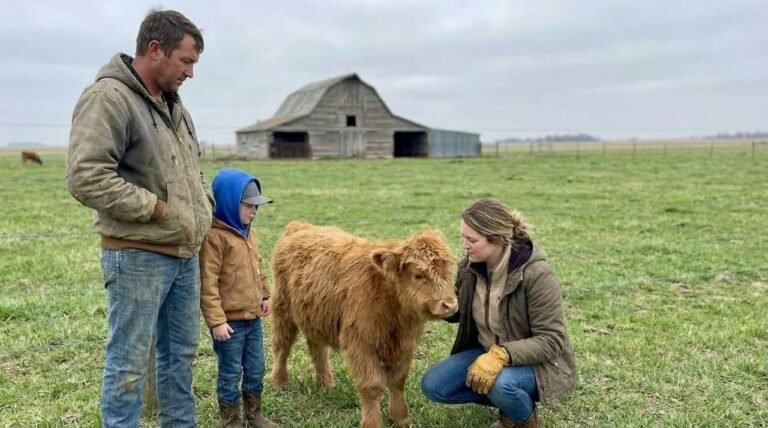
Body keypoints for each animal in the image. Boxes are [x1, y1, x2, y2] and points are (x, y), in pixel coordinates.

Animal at [270, 221, 458, 428]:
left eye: (449, 270)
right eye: (418, 275)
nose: (450, 304)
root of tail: (300, 226)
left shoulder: (405, 344)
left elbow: (398, 381)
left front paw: (400, 418)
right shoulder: (361, 343)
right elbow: (372, 386)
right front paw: (373, 423)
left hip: (314, 315)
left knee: (317, 349)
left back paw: (326, 384)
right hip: (282, 309)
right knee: (282, 348)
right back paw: (279, 383)